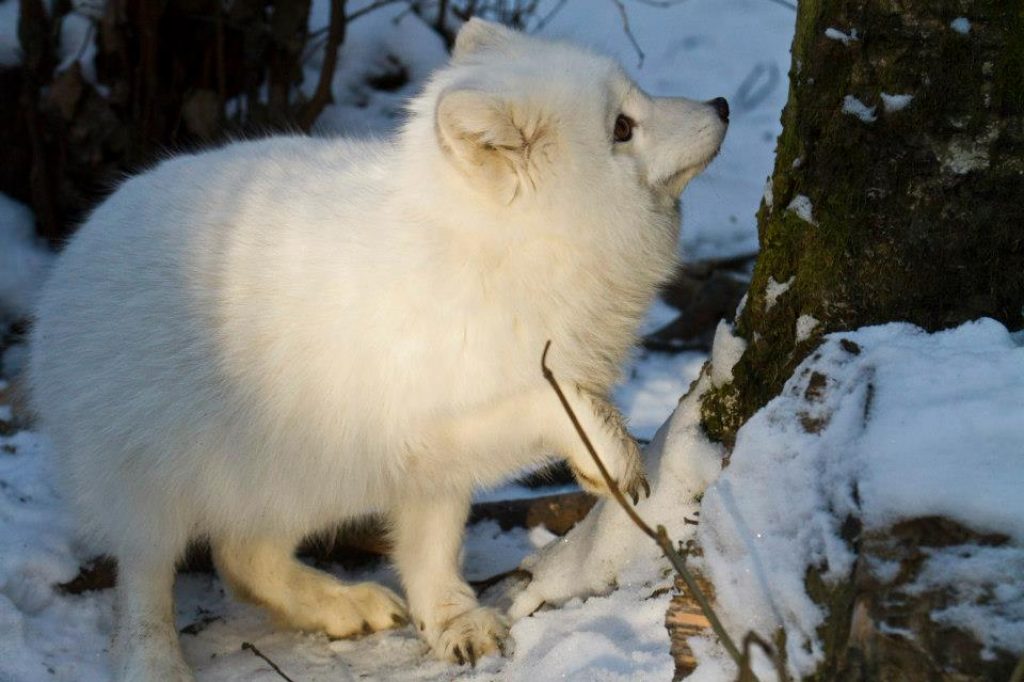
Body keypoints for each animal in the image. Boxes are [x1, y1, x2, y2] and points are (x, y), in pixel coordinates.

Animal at [25, 18, 729, 675]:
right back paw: (155, 660)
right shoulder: (431, 421)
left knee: (239, 556)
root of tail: (66, 268)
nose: (722, 105)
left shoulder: (432, 463)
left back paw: (339, 605)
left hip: (302, 474)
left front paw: (452, 622)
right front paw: (607, 452)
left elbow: (431, 550)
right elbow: (551, 402)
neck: (496, 252)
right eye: (622, 128)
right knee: (144, 580)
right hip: (159, 485)